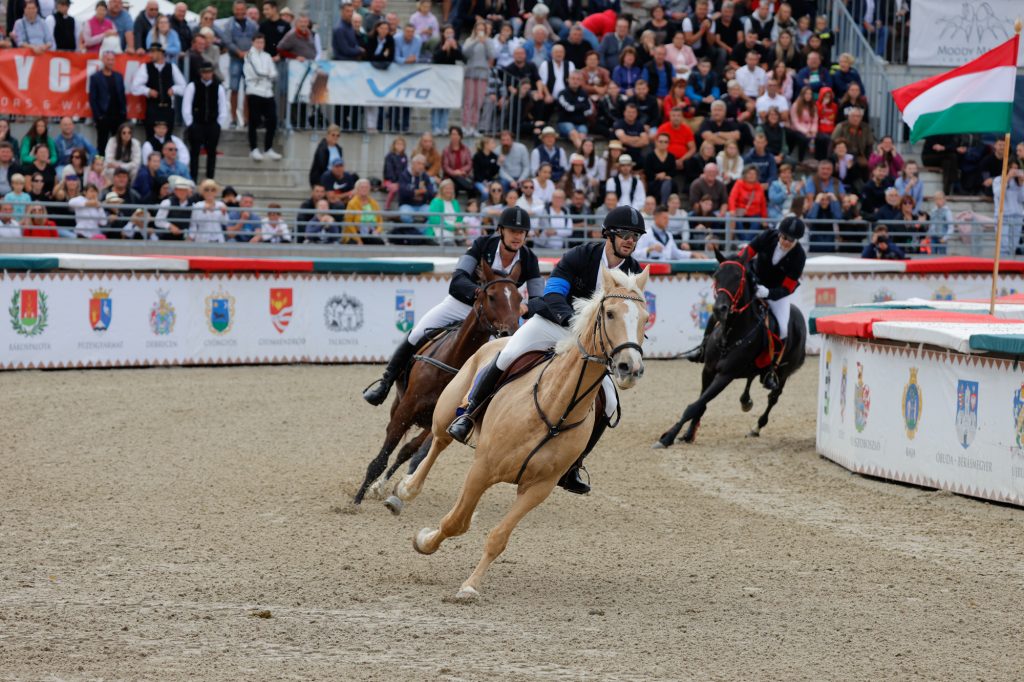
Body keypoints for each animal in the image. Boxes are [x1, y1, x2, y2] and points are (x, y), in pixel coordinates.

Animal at [354, 260, 528, 503]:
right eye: (492, 296)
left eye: (519, 299)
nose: (510, 332)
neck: (450, 364)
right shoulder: (406, 409)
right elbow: (381, 458)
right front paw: (356, 500)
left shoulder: (440, 419)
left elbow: (413, 454)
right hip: (398, 403)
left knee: (407, 450)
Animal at [391, 268, 647, 598]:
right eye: (611, 313)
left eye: (645, 319)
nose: (630, 368)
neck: (554, 408)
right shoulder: (482, 469)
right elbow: (455, 522)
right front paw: (424, 541)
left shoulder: (538, 488)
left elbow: (498, 536)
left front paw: (471, 586)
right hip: (446, 411)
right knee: (438, 442)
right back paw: (405, 489)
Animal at [655, 245, 806, 446]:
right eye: (716, 275)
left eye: (737, 277)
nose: (720, 309)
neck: (730, 335)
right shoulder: (708, 370)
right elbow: (700, 404)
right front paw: (688, 433)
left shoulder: (725, 375)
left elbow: (694, 406)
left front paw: (668, 437)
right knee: (752, 379)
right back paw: (745, 401)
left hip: (784, 373)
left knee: (773, 398)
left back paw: (757, 427)